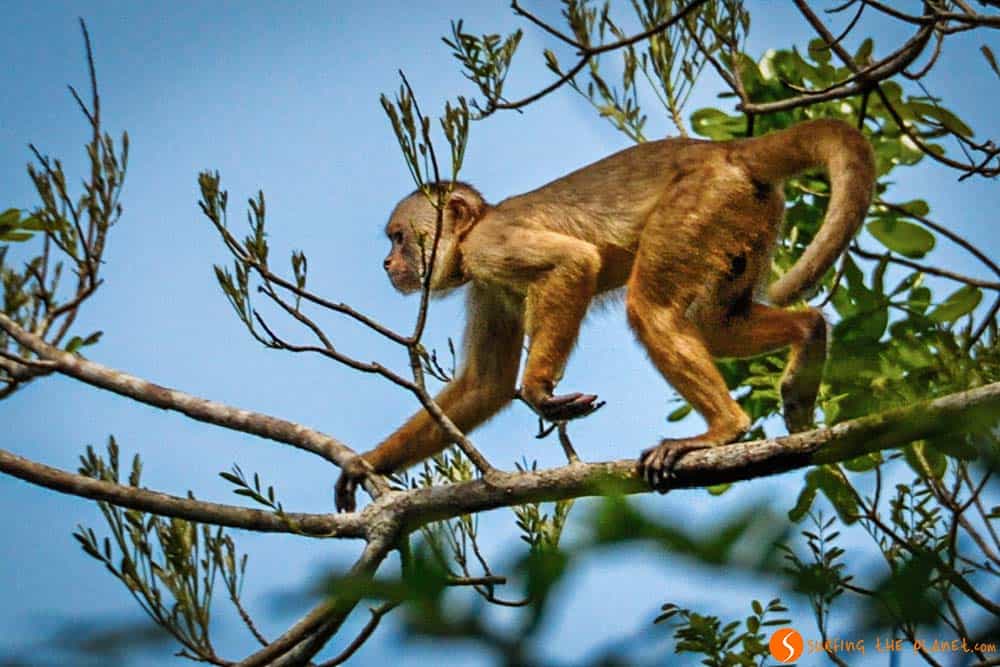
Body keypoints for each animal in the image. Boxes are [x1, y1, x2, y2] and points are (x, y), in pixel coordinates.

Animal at [335, 118, 875, 512]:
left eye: (399, 238)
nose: (388, 263)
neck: (470, 237)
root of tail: (725, 151)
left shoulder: (488, 247)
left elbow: (575, 264)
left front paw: (539, 391)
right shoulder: (486, 284)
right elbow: (486, 385)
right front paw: (365, 464)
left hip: (702, 200)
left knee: (650, 310)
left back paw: (722, 428)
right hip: (747, 211)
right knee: (716, 324)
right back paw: (809, 334)